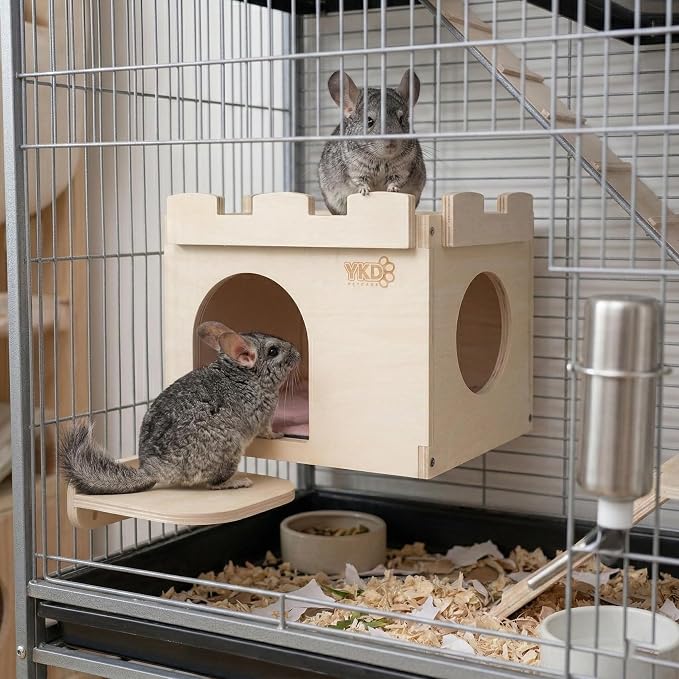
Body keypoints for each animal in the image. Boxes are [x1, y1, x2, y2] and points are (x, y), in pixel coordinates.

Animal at [59, 322, 301, 494]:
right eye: (273, 351)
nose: (298, 353)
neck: (245, 375)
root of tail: (154, 470)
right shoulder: (265, 415)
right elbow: (268, 431)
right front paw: (278, 435)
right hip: (229, 449)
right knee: (214, 484)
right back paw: (239, 482)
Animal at [319, 69, 426, 216]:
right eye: (369, 121)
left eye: (401, 120)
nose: (391, 142)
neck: (381, 160)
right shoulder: (355, 171)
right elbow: (360, 182)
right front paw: (364, 191)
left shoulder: (403, 169)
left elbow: (397, 181)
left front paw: (393, 189)